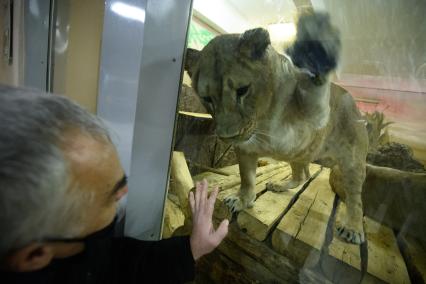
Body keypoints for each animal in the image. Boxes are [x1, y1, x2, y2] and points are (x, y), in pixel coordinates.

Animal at [185, 12, 368, 244]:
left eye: (242, 90)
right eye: (207, 98)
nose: (229, 137)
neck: (263, 119)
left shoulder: (316, 117)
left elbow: (314, 91)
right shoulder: (245, 149)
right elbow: (246, 178)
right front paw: (241, 200)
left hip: (352, 161)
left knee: (355, 199)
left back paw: (353, 228)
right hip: (298, 155)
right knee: (303, 175)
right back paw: (278, 186)